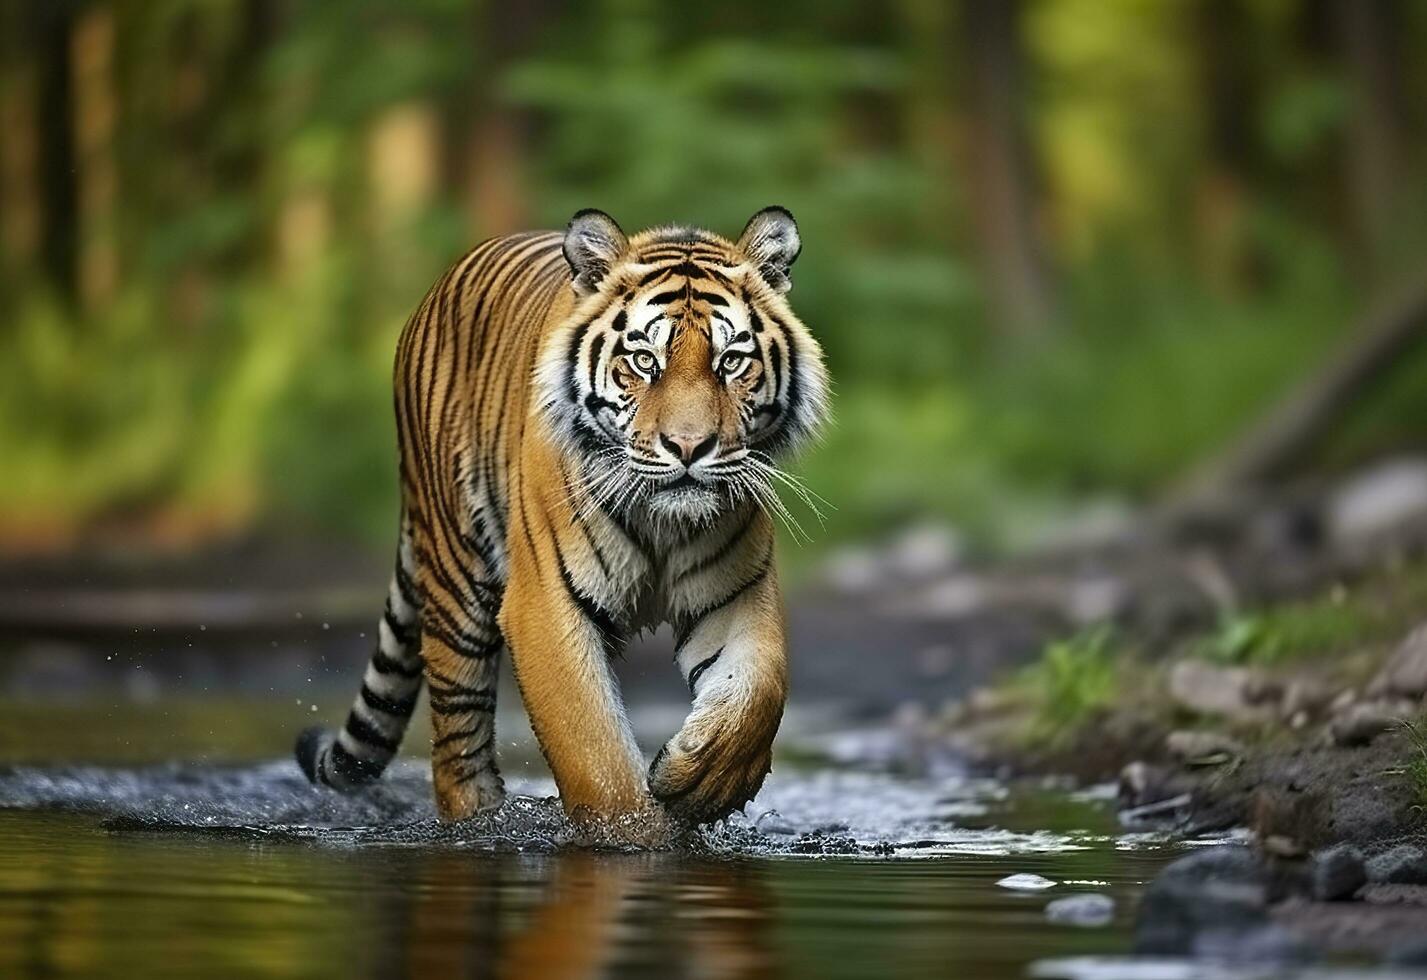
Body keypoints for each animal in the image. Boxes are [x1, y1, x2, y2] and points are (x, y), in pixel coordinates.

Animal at [292, 208, 827, 827]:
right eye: (644, 361)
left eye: (731, 362)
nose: (689, 447)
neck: (663, 523)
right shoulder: (544, 605)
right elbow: (595, 756)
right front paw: (636, 835)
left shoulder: (736, 592)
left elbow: (759, 688)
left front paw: (705, 779)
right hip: (457, 584)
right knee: (457, 748)